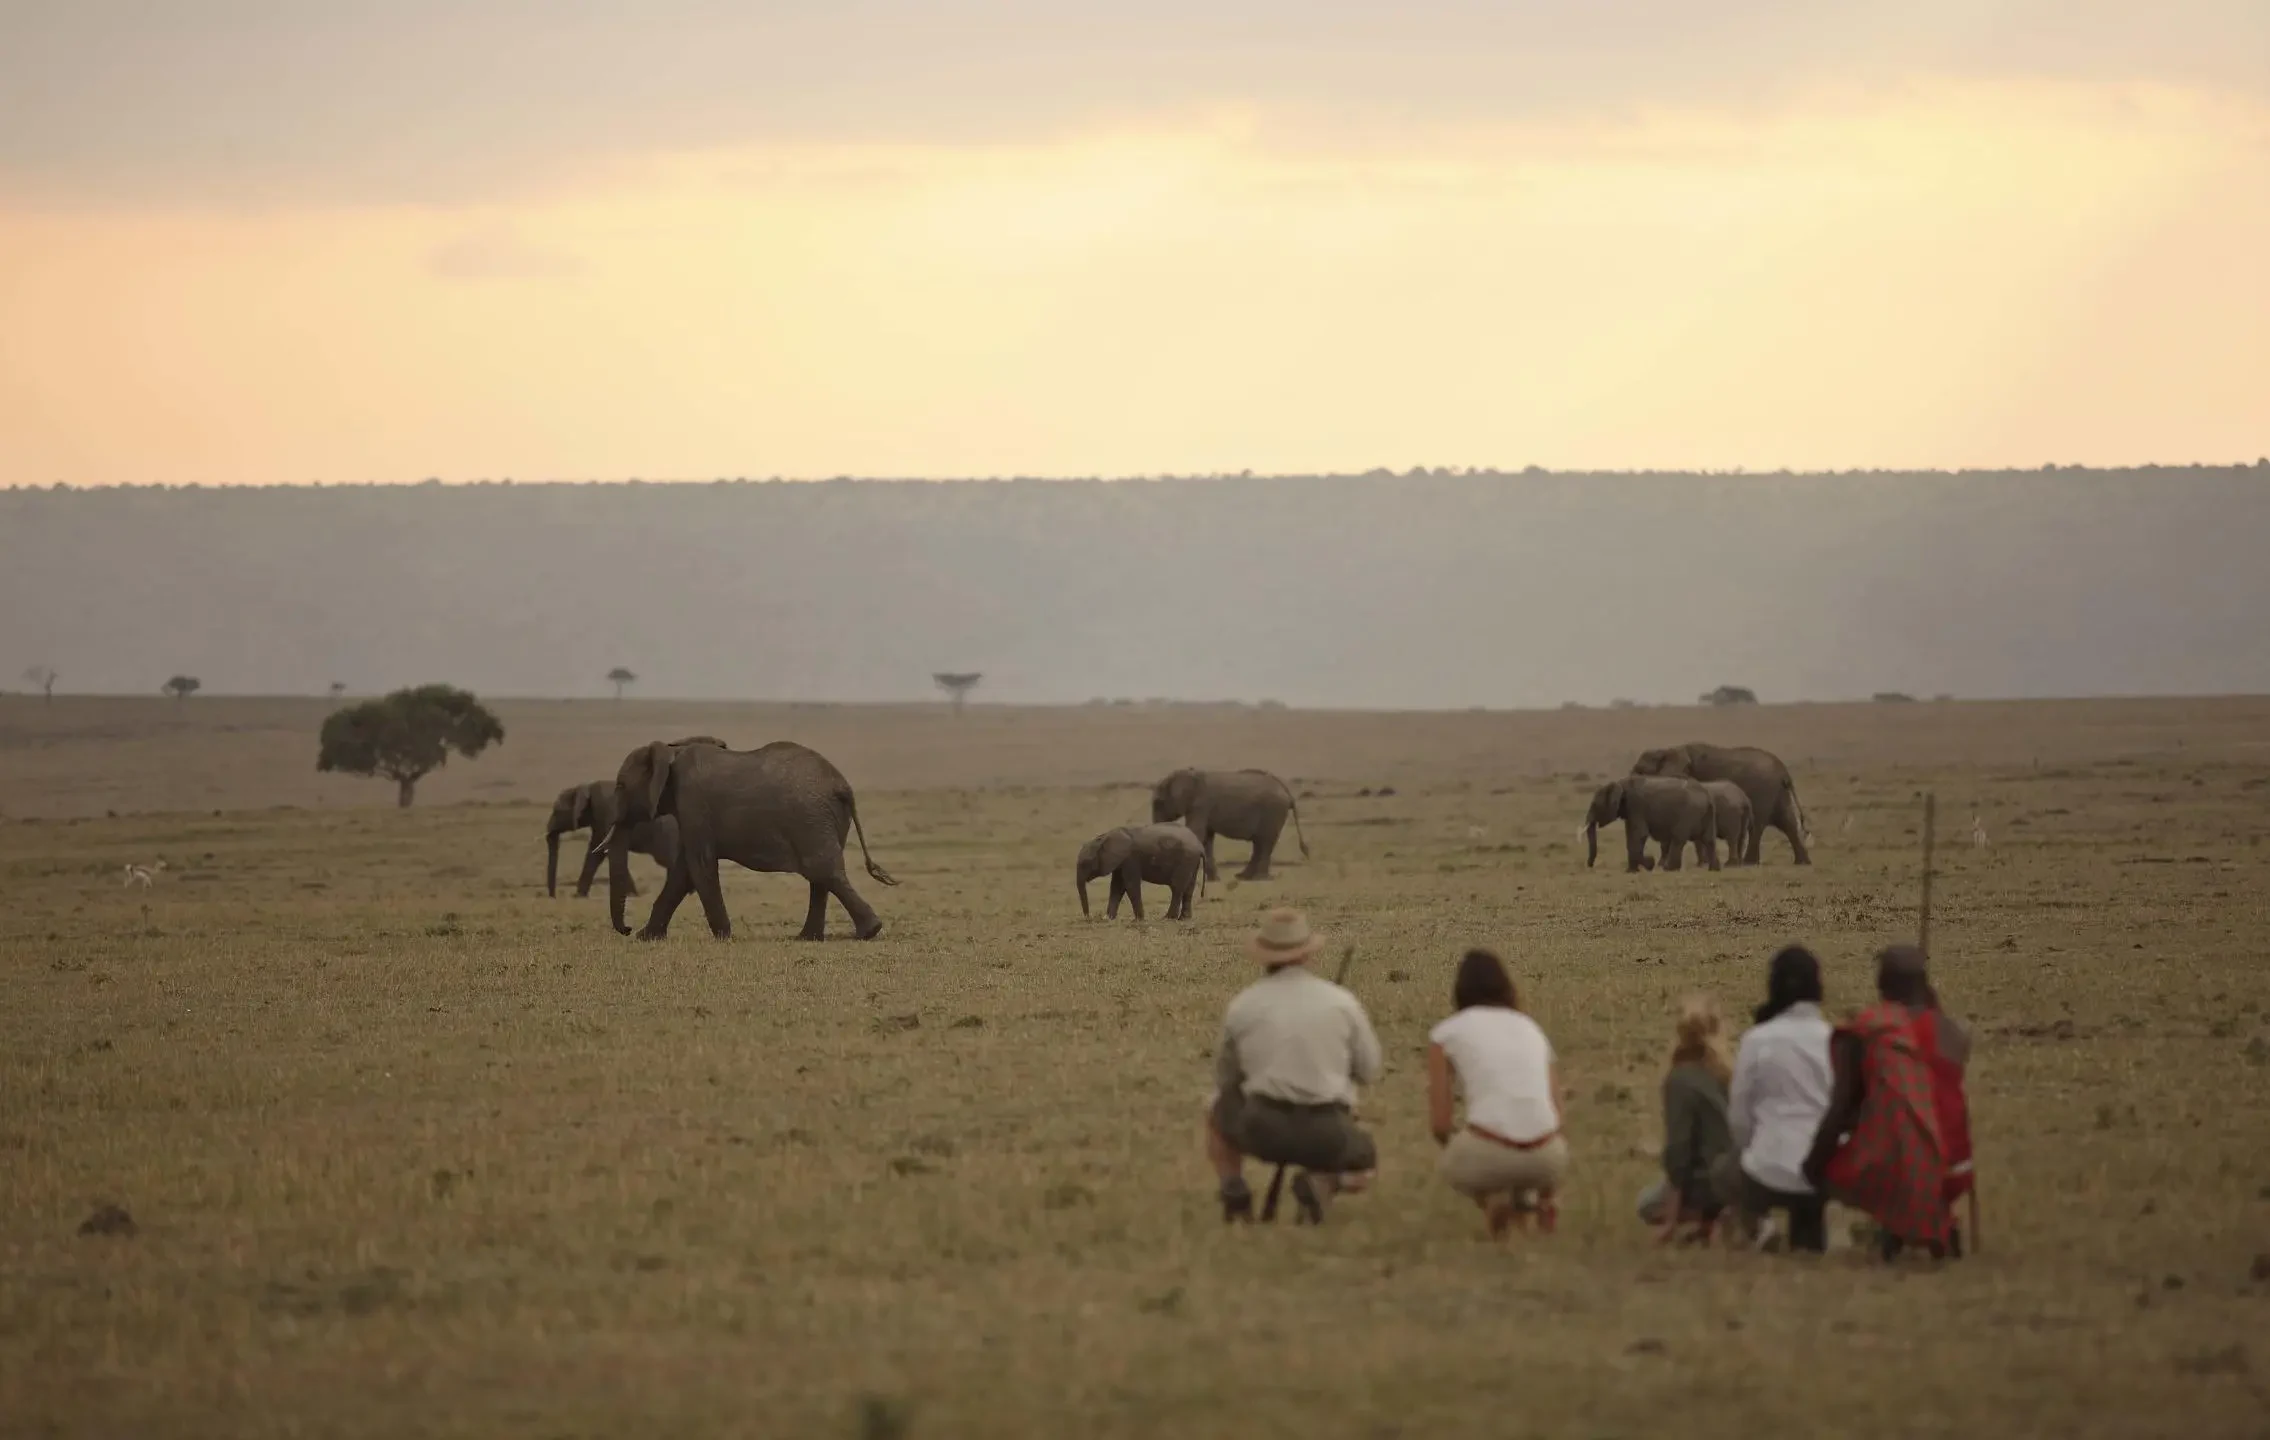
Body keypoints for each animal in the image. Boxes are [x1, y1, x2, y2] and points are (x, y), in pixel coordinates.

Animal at [600, 738, 897, 941]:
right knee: (821, 876)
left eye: (620, 786)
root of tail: (843, 787)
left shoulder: (693, 804)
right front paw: (646, 937)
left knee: (822, 870)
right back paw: (808, 938)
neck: (672, 750)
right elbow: (682, 871)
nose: (626, 929)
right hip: (824, 819)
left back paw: (868, 932)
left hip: (811, 818)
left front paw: (723, 937)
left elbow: (699, 865)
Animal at [1077, 823, 1206, 921]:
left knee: (1176, 888)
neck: (1104, 837)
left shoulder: (1130, 859)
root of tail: (1200, 846)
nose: (1089, 918)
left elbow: (1130, 885)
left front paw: (1138, 920)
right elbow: (1116, 887)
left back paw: (1168, 918)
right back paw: (1184, 919)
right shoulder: (1120, 861)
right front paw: (1108, 918)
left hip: (1185, 860)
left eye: (1085, 863)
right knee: (1189, 889)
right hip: (1192, 862)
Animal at [1150, 768, 1309, 882]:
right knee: (1259, 844)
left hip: (1273, 812)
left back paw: (1258, 878)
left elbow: (1197, 833)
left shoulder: (1201, 805)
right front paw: (1214, 880)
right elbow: (1207, 838)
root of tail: (1287, 792)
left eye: (1159, 803)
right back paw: (1243, 877)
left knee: (1264, 843)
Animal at [1585, 776, 1720, 873]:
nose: (1590, 865)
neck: (1621, 783)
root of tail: (1707, 796)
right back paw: (1714, 869)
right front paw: (1631, 871)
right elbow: (1631, 836)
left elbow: (1639, 835)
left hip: (1688, 813)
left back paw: (1668, 869)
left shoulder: (1636, 806)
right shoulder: (1630, 811)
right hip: (1708, 814)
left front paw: (1649, 863)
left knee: (1678, 838)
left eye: (1595, 805)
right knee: (1709, 840)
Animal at [1630, 743, 1811, 864]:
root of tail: (1784, 772)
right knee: (1788, 824)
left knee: (1757, 826)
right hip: (1778, 793)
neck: (1668, 750)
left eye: (1640, 771)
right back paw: (1802, 862)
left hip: (1764, 791)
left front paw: (1700, 864)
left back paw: (1748, 863)